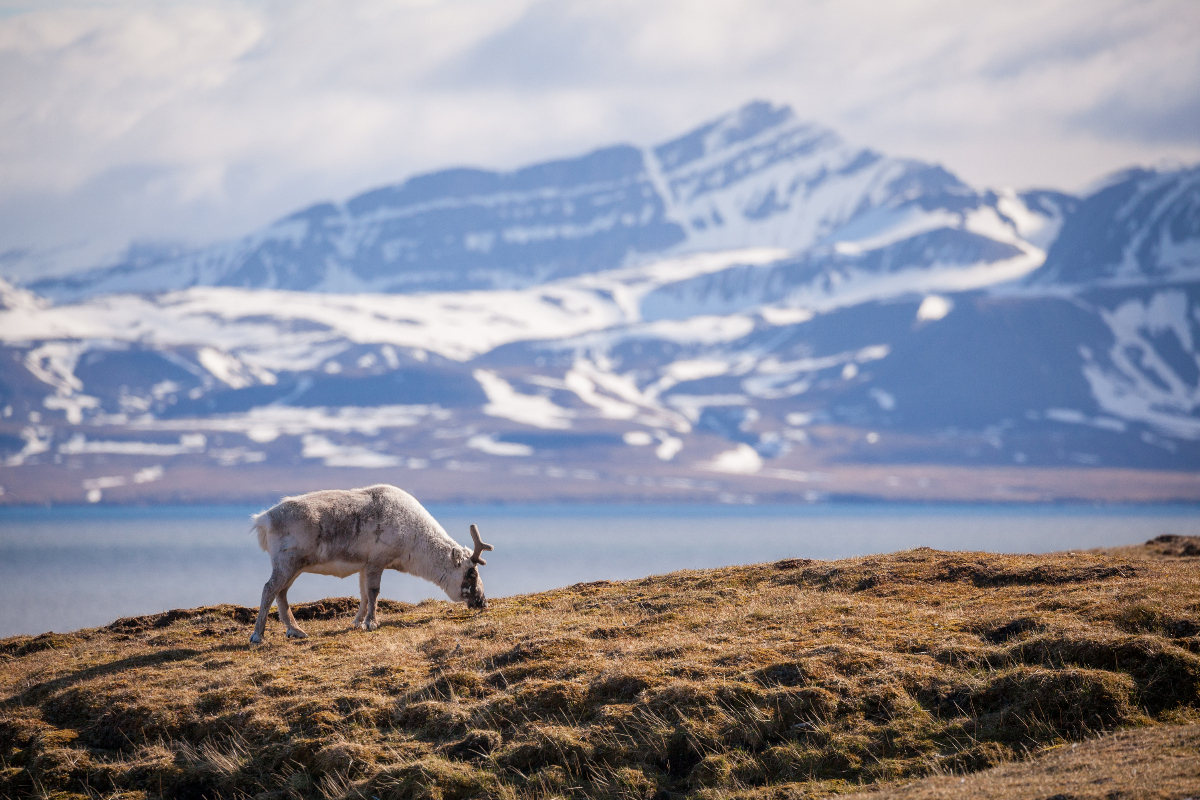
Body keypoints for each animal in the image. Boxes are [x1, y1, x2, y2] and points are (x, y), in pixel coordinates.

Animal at [248, 484, 492, 643]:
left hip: (295, 566)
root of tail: (263, 520)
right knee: (269, 588)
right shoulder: (377, 560)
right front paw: (371, 623)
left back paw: (295, 630)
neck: (415, 542)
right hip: (287, 562)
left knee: (281, 592)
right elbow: (374, 591)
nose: (482, 602)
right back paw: (258, 635)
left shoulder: (364, 565)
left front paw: (357, 622)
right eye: (471, 573)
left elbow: (364, 594)